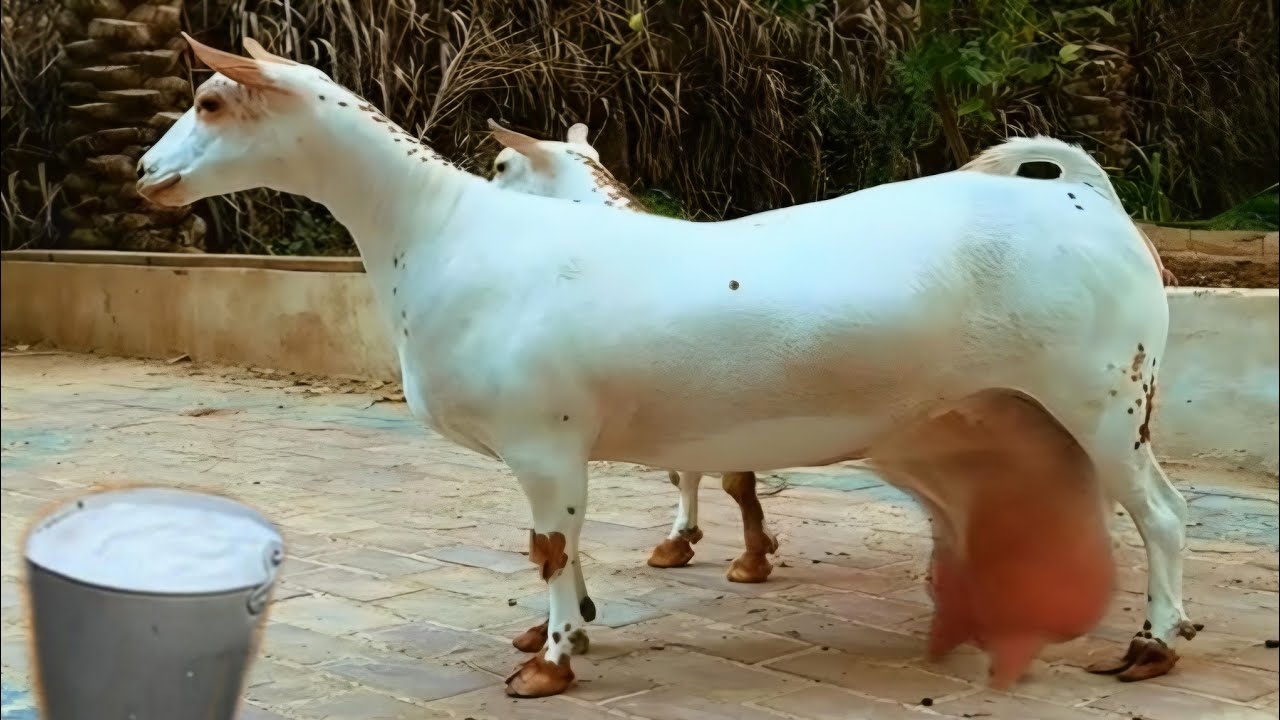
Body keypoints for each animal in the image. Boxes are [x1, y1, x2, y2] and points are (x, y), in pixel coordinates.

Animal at [138, 36, 1196, 697]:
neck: (445, 232)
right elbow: (559, 546)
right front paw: (564, 625)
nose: (147, 177)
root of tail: (1086, 198)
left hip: (1107, 395)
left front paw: (551, 661)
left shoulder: (544, 442)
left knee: (1161, 515)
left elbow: (550, 547)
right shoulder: (559, 452)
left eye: (210, 99)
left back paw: (1153, 643)